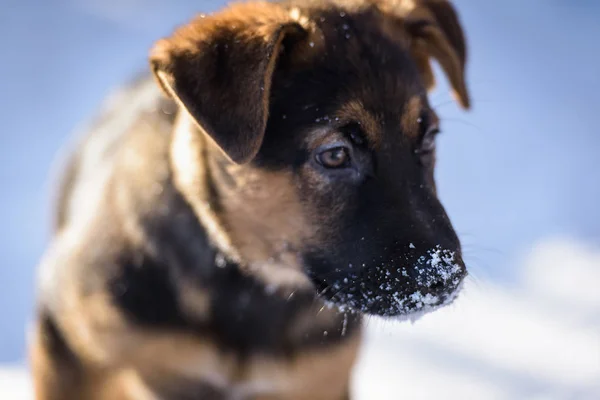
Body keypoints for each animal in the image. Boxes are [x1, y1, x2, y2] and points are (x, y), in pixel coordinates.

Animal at [30, 1, 472, 398]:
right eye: (334, 154)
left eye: (429, 137)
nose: (445, 280)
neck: (253, 286)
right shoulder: (64, 340)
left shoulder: (318, 382)